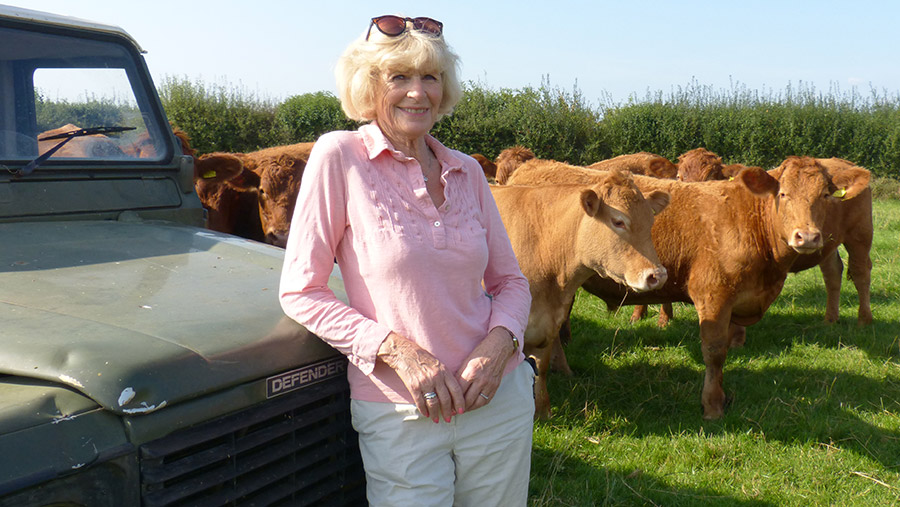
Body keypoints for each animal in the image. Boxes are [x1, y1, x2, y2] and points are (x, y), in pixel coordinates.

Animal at [492, 169, 668, 418]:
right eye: (618, 221)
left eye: (650, 221)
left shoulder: (548, 325)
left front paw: (542, 412)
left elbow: (540, 371)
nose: (658, 275)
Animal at [510, 157, 868, 418]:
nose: (806, 237)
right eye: (783, 194)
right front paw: (713, 405)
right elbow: (715, 353)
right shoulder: (714, 296)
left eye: (825, 195)